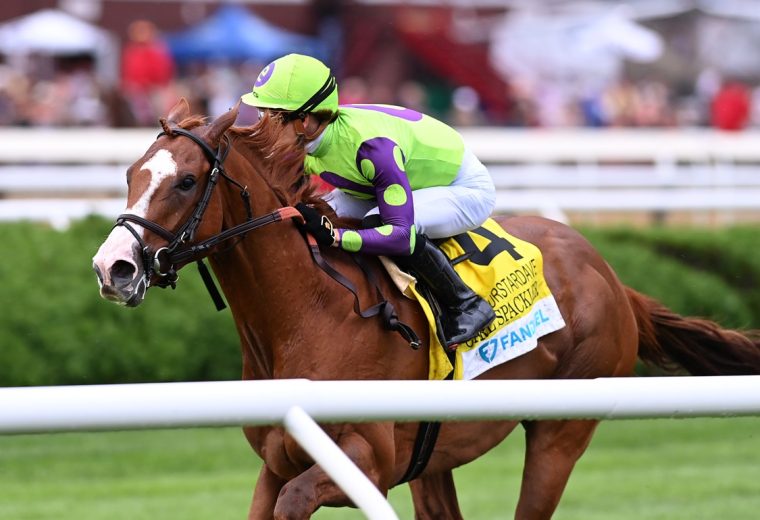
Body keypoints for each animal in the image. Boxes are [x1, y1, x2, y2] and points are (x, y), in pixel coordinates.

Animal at [92, 99, 756, 516]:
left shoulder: (365, 460)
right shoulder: (280, 458)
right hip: (435, 455)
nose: (113, 267)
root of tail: (613, 278)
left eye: (185, 182)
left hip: (561, 435)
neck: (307, 313)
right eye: (130, 173)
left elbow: (294, 501)